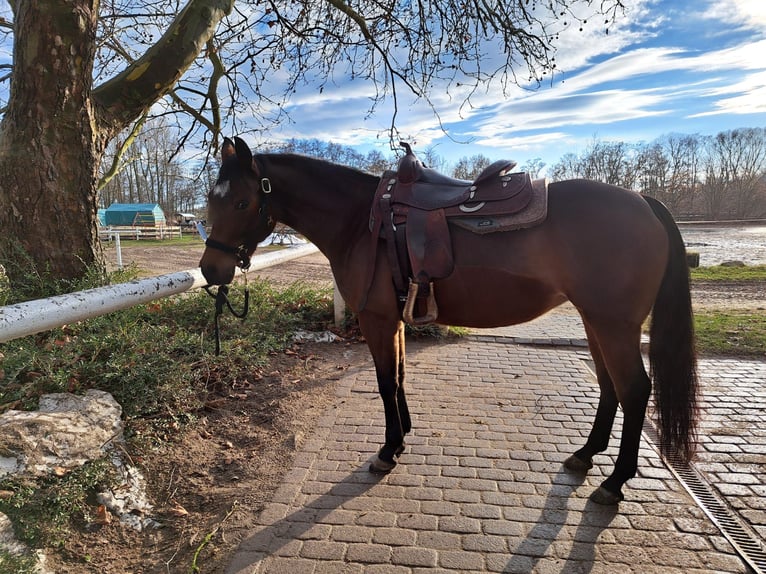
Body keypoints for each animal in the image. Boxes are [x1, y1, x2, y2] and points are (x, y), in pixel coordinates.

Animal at [199, 136, 698, 506]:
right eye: (210, 199)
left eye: (241, 203)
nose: (210, 270)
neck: (360, 222)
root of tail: (642, 199)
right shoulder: (394, 319)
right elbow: (399, 377)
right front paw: (402, 437)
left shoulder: (377, 319)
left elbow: (385, 381)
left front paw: (387, 451)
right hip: (597, 322)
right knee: (610, 386)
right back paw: (585, 455)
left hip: (614, 325)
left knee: (635, 389)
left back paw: (615, 483)